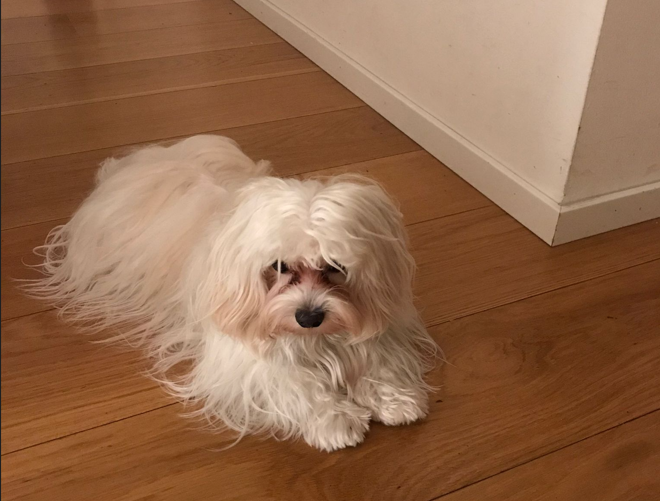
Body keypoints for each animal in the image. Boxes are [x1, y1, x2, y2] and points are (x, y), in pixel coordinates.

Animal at [27, 135, 436, 451]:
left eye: (334, 266)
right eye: (279, 267)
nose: (308, 317)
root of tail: (137, 162)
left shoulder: (377, 326)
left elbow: (378, 359)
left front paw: (397, 399)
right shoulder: (244, 358)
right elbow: (294, 382)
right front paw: (335, 420)